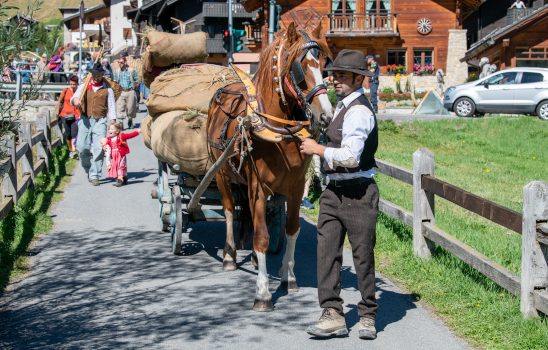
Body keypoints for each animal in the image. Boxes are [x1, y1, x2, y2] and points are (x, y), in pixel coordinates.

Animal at [207, 22, 332, 312]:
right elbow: (262, 237)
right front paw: (263, 293)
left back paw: (253, 257)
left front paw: (289, 277)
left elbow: (291, 229)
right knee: (228, 210)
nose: (327, 116)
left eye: (324, 64)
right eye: (299, 68)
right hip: (221, 174)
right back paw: (230, 256)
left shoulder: (296, 187)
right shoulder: (259, 187)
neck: (277, 131)